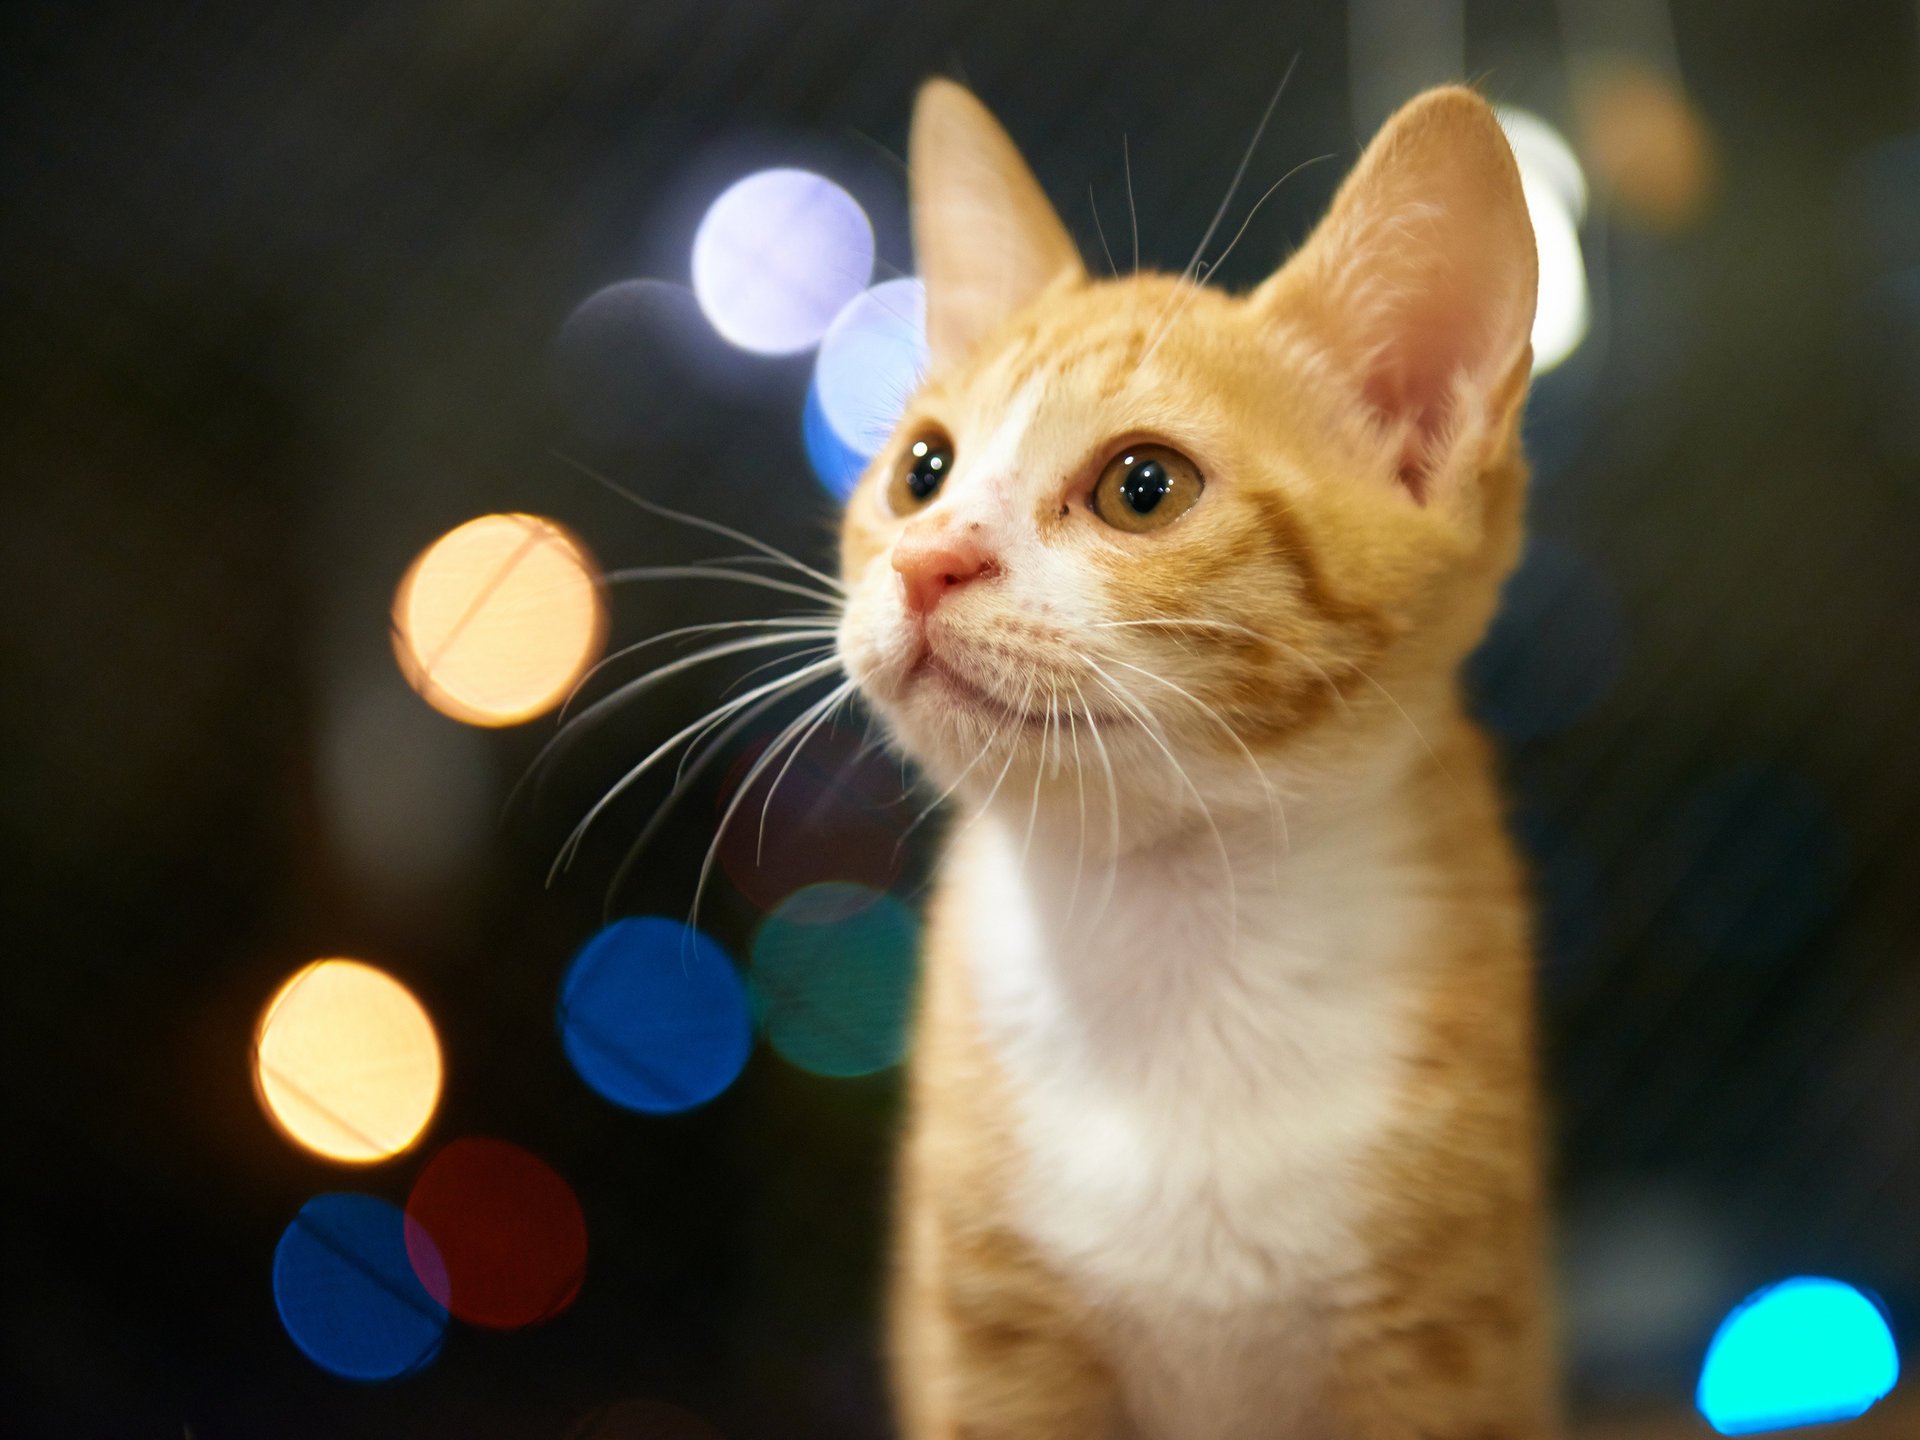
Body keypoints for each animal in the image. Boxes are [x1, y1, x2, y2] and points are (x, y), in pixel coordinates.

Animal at [840, 81, 1559, 1440]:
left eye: (1143, 487)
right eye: (921, 471)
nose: (925, 561)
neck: (1175, 934)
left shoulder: (1441, 1341)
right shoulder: (994, 1344)